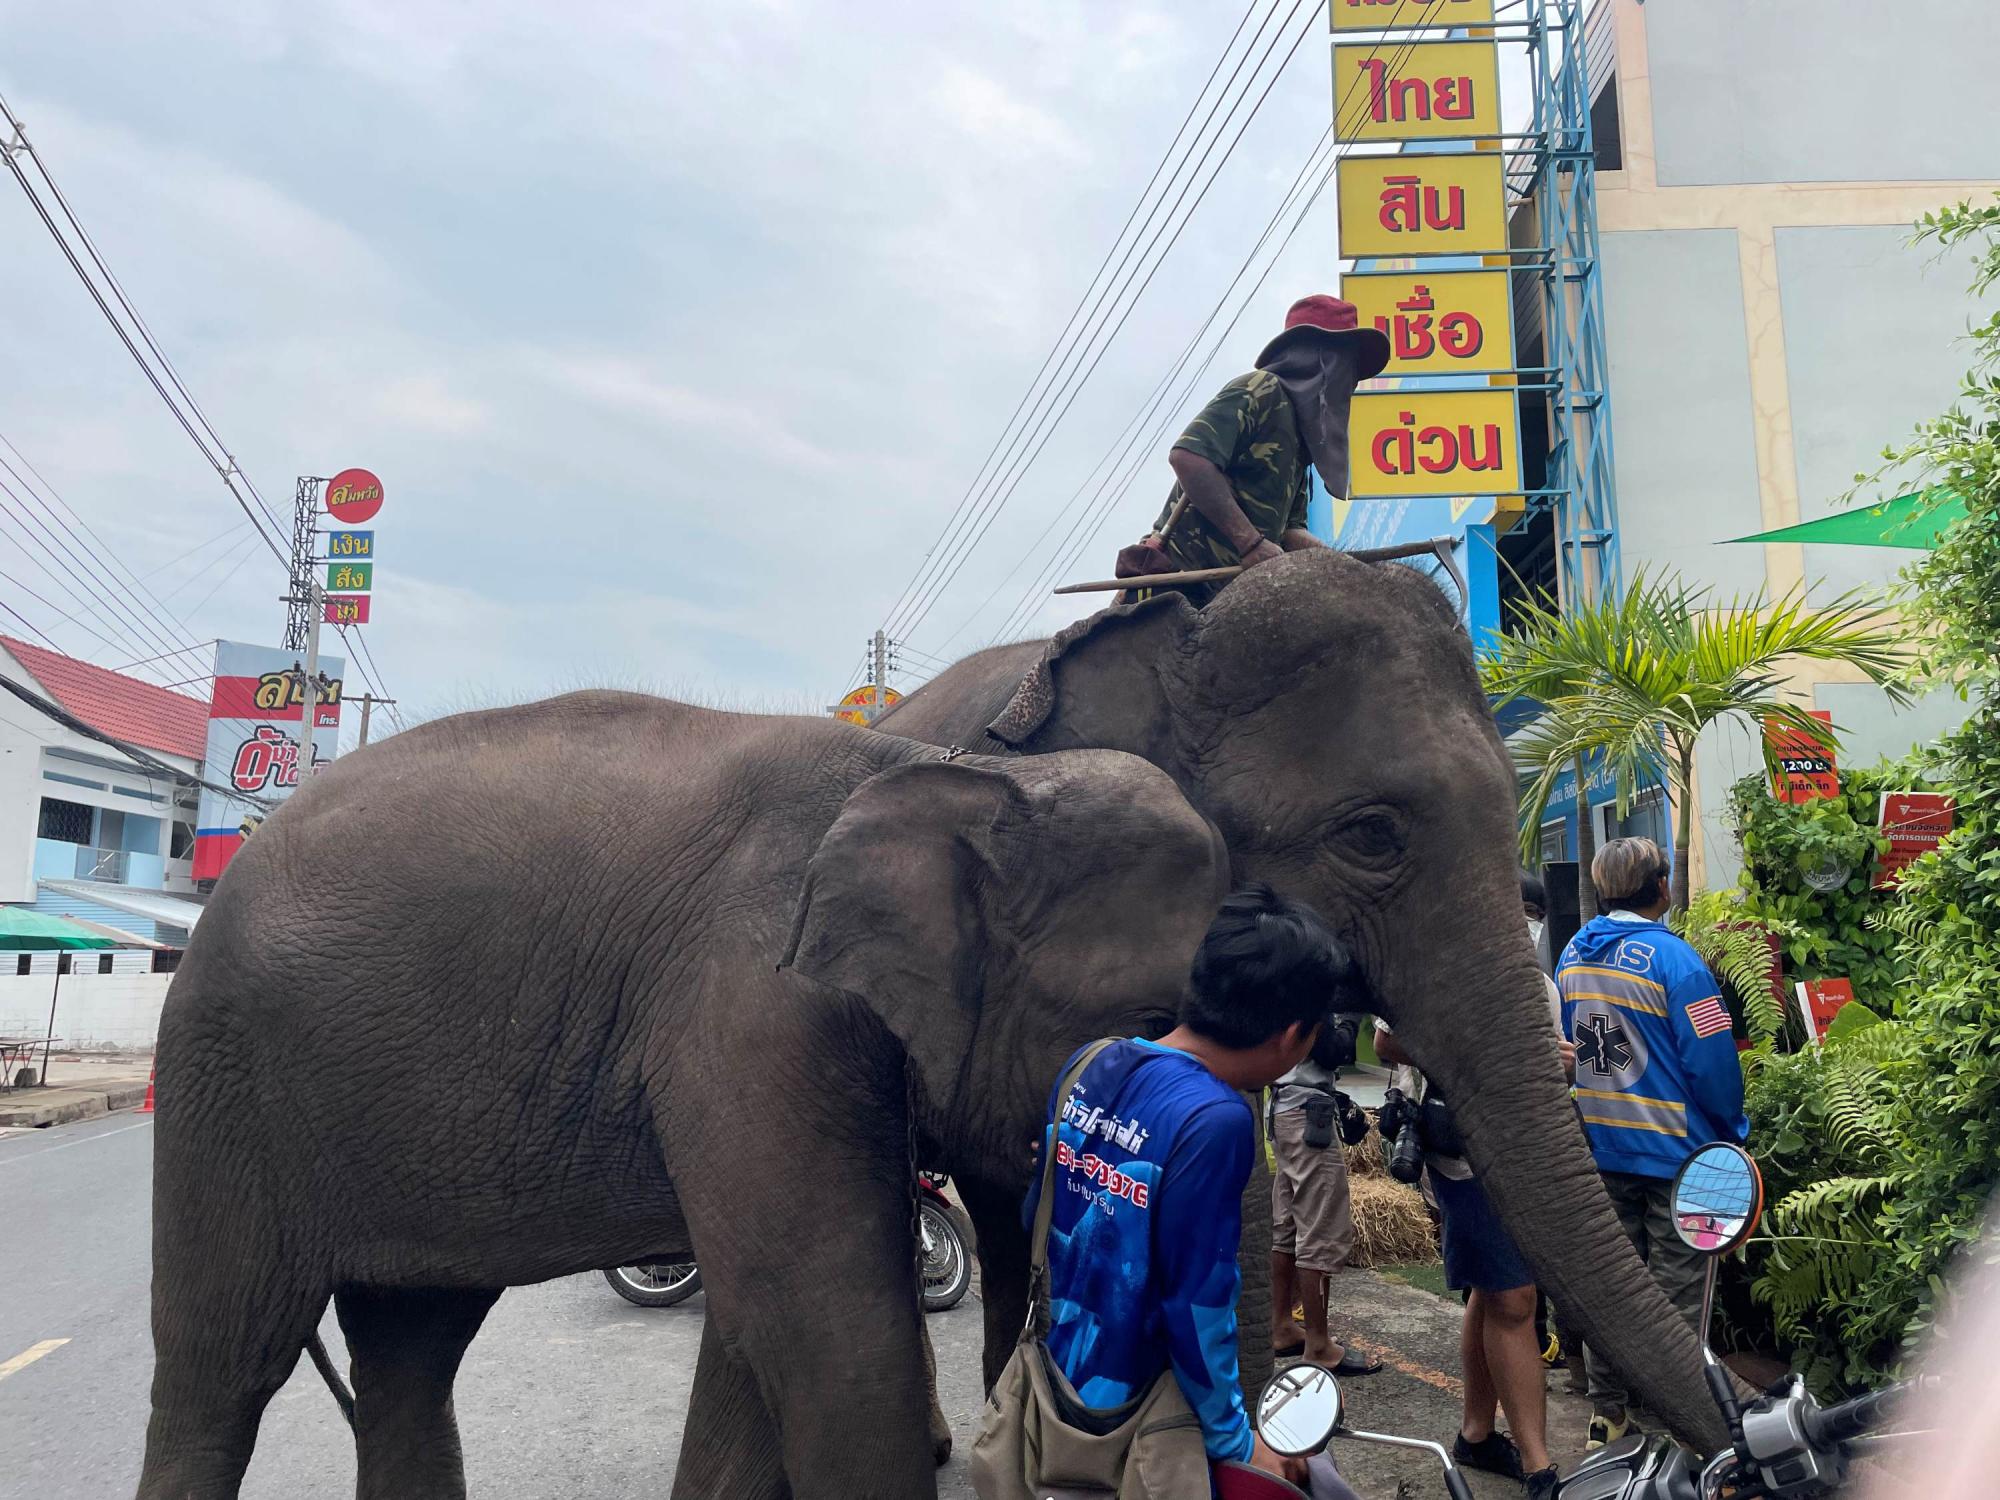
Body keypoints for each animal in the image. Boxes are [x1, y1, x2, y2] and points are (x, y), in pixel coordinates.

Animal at [141, 704, 1232, 1500]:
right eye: (1145, 1026)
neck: (951, 767)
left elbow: (761, 1330)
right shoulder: (756, 1004)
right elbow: (821, 1318)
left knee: (412, 1350)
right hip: (221, 1089)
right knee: (223, 1364)